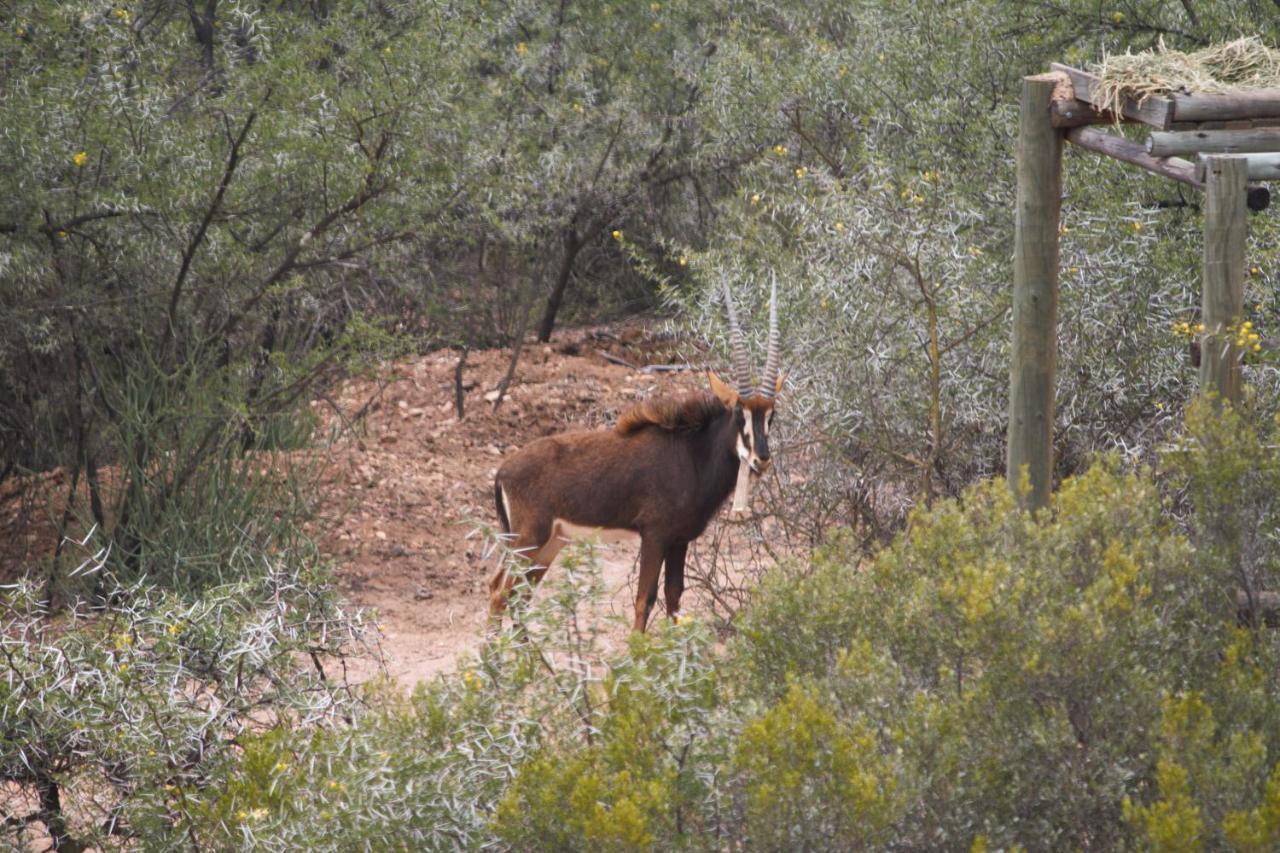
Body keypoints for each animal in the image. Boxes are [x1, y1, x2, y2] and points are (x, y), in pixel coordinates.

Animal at [488, 281, 778, 627]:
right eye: (738, 413)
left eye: (772, 415)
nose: (761, 458)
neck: (693, 455)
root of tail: (502, 472)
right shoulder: (654, 535)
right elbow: (645, 599)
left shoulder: (679, 540)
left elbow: (674, 597)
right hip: (528, 540)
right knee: (500, 593)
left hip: (550, 543)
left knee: (518, 595)